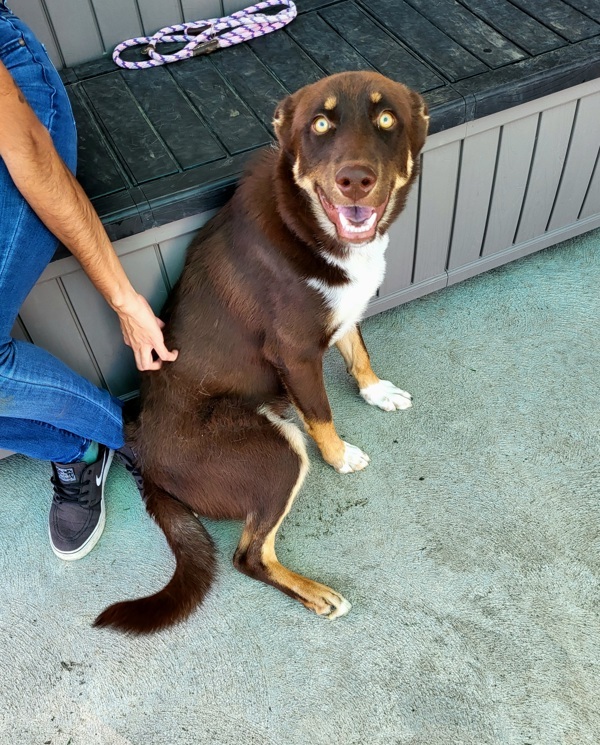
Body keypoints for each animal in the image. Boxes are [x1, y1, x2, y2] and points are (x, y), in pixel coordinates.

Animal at [96, 70, 426, 632]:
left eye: (387, 119)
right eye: (320, 124)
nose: (354, 179)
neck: (308, 224)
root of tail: (142, 455)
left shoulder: (344, 314)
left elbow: (358, 352)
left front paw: (377, 391)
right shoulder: (297, 355)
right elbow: (321, 412)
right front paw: (340, 456)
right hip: (279, 452)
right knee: (248, 556)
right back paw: (317, 594)